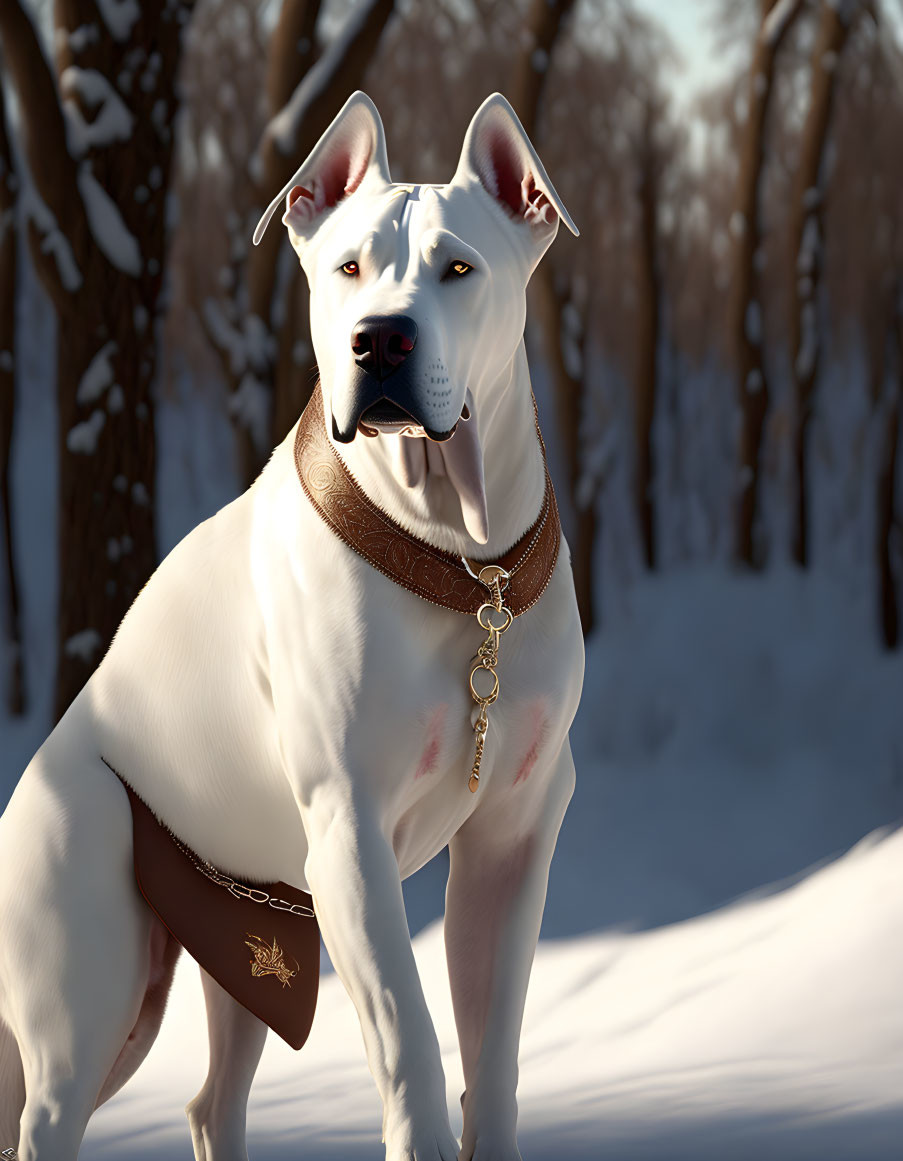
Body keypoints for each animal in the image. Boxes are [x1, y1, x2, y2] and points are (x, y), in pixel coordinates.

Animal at [0, 92, 580, 1161]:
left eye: (457, 269)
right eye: (348, 267)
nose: (380, 339)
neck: (455, 557)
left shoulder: (513, 837)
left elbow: (493, 1056)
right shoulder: (350, 839)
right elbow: (411, 1036)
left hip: (247, 947)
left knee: (211, 1100)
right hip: (87, 993)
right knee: (51, 1112)